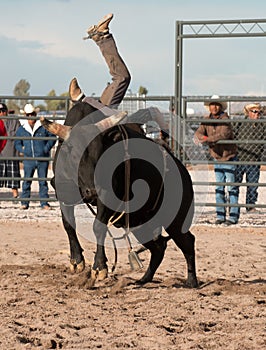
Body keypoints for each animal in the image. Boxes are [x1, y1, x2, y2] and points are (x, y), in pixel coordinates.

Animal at [41, 106, 198, 288]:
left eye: (100, 155)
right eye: (74, 155)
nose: (92, 191)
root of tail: (182, 171)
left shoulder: (107, 196)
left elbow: (98, 227)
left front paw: (99, 267)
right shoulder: (64, 194)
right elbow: (68, 224)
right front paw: (77, 261)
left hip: (175, 219)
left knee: (187, 241)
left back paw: (191, 281)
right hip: (141, 224)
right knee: (158, 247)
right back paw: (144, 279)